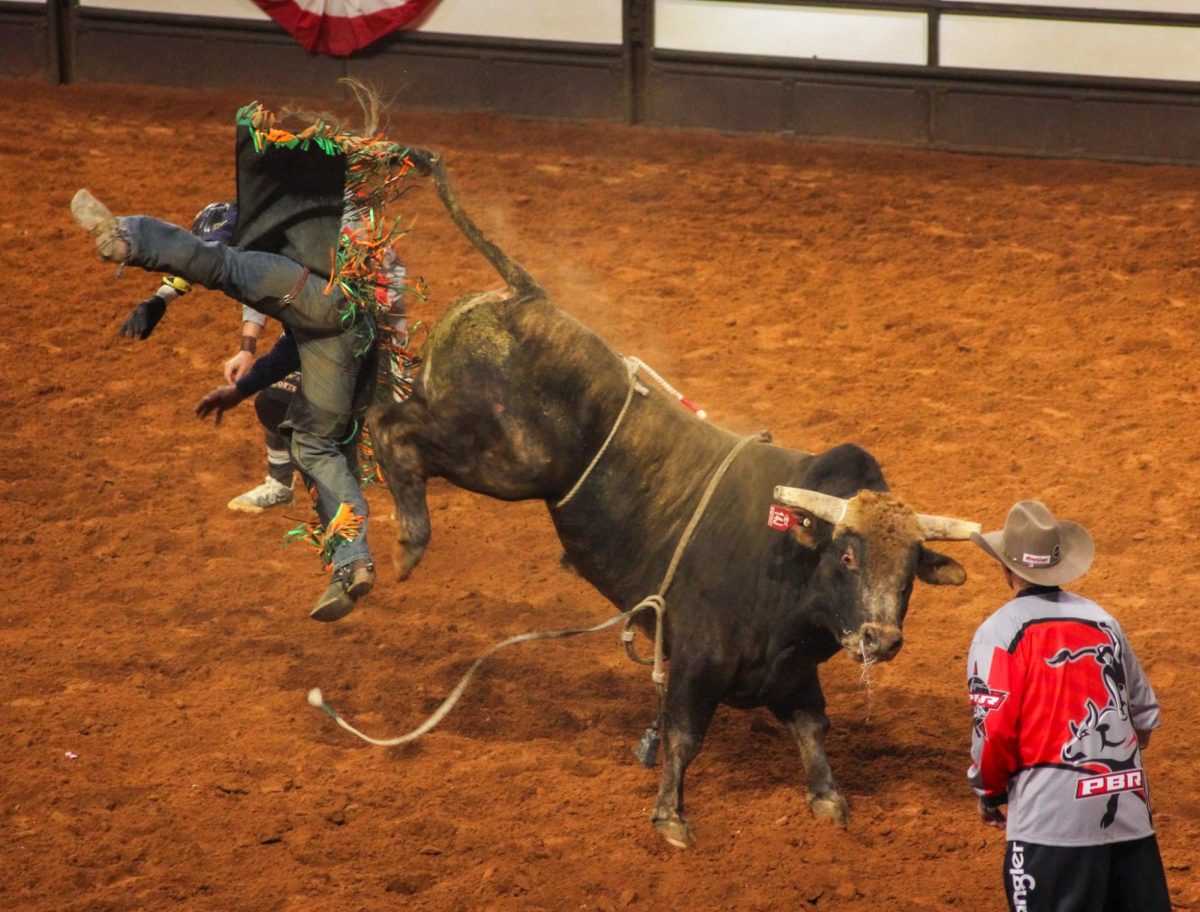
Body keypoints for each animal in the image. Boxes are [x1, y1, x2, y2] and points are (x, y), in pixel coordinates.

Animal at [367, 151, 974, 849]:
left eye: (911, 571)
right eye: (847, 557)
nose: (881, 638)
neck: (787, 561)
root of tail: (525, 296)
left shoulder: (792, 671)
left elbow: (812, 730)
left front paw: (828, 798)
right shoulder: (695, 658)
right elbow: (685, 734)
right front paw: (671, 816)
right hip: (501, 457)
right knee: (390, 427)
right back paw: (407, 542)